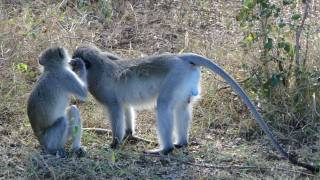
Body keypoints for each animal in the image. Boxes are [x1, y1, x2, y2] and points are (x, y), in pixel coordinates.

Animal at [73, 45, 320, 172]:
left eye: (76, 61)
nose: (71, 65)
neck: (99, 65)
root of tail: (181, 58)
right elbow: (125, 108)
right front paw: (128, 135)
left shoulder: (105, 93)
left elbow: (116, 110)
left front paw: (114, 143)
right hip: (186, 79)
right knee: (181, 106)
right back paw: (181, 143)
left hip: (176, 75)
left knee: (164, 105)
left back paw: (165, 149)